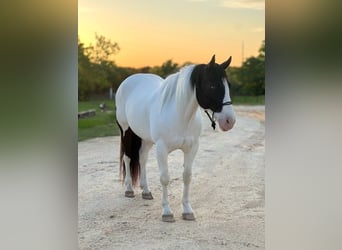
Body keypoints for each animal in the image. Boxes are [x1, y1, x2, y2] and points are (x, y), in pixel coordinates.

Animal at [115, 55, 235, 223]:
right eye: (212, 85)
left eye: (228, 85)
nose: (229, 121)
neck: (179, 114)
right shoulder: (162, 148)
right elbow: (165, 178)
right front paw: (167, 212)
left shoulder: (192, 148)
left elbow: (187, 176)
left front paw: (187, 210)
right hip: (125, 131)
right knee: (127, 158)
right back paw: (128, 189)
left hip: (146, 138)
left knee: (142, 158)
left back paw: (146, 191)